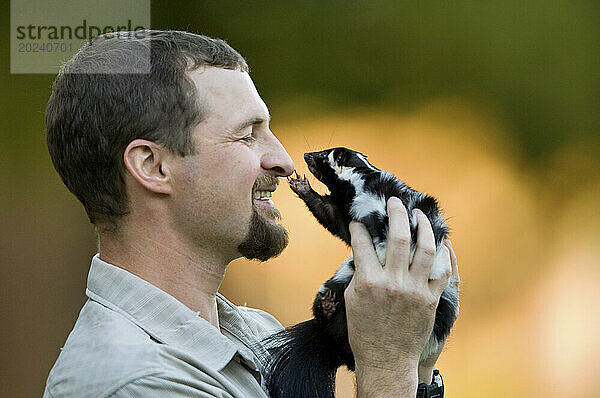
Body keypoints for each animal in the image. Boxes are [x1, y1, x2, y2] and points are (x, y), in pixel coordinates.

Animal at [264, 148, 460, 398]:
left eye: (323, 155)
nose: (307, 154)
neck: (364, 180)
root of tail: (330, 343)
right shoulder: (348, 211)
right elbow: (331, 215)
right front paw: (301, 186)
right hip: (337, 282)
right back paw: (328, 307)